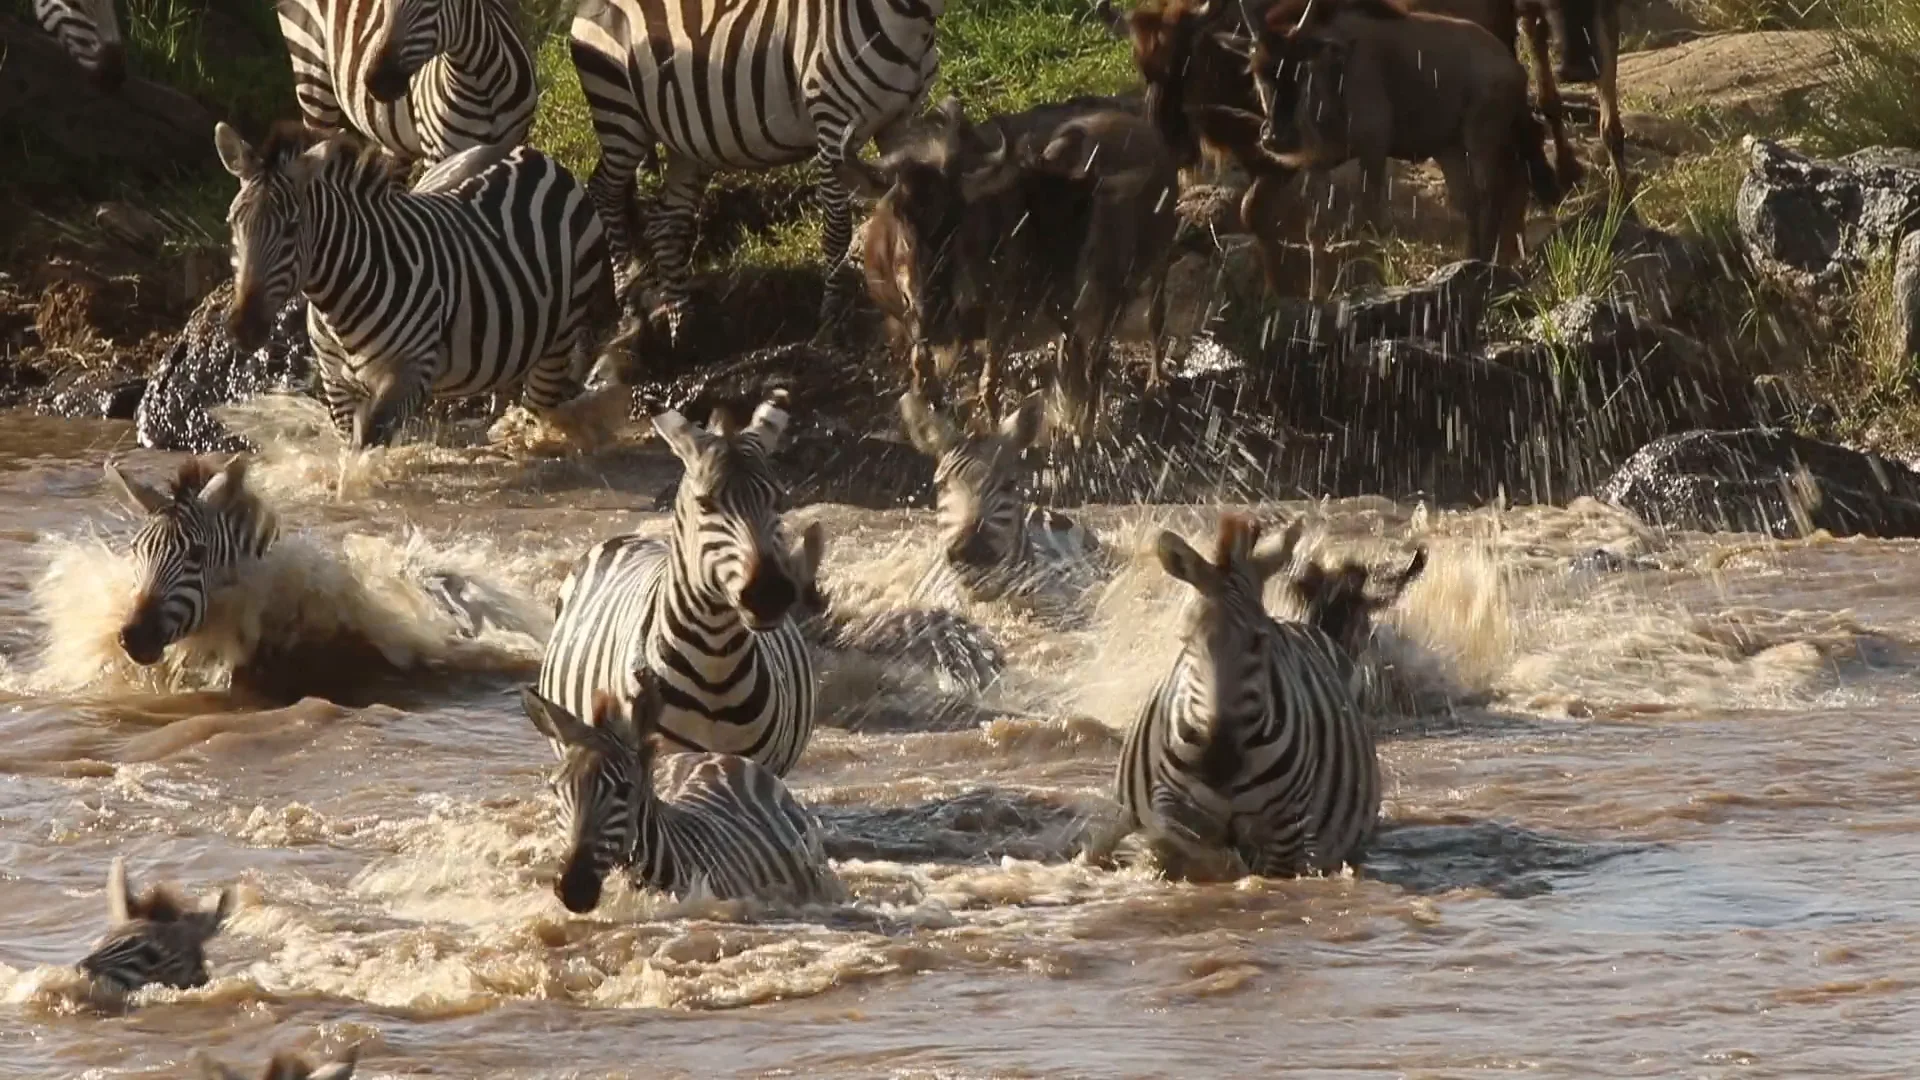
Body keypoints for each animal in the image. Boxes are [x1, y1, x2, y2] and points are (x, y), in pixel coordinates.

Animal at [213, 122, 618, 450]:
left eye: (292, 228)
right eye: (233, 222)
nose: (242, 328)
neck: (339, 298)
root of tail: (531, 152)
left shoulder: (407, 373)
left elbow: (367, 441)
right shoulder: (335, 383)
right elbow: (349, 444)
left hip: (560, 337)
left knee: (541, 408)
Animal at [274, 0, 537, 166]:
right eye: (384, 3)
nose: (375, 83)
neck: (481, 82)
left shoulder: (516, 142)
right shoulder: (438, 154)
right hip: (311, 74)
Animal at [567, 0, 944, 338]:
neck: (911, 22)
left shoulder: (901, 121)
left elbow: (905, 207)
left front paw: (915, 298)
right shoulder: (832, 124)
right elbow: (837, 231)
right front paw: (832, 320)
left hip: (686, 144)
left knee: (665, 222)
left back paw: (685, 328)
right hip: (620, 115)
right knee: (604, 191)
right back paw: (629, 306)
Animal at [1114, 513, 1423, 881]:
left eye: (1259, 641)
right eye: (1185, 640)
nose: (1218, 763)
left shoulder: (1285, 838)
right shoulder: (1175, 816)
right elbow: (1175, 854)